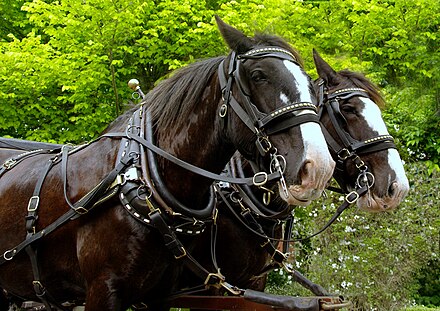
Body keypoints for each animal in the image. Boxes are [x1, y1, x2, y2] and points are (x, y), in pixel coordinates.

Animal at [0, 18, 334, 310]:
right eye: (258, 76)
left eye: (310, 85)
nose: (317, 167)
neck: (144, 181)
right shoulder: (103, 291)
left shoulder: (164, 295)